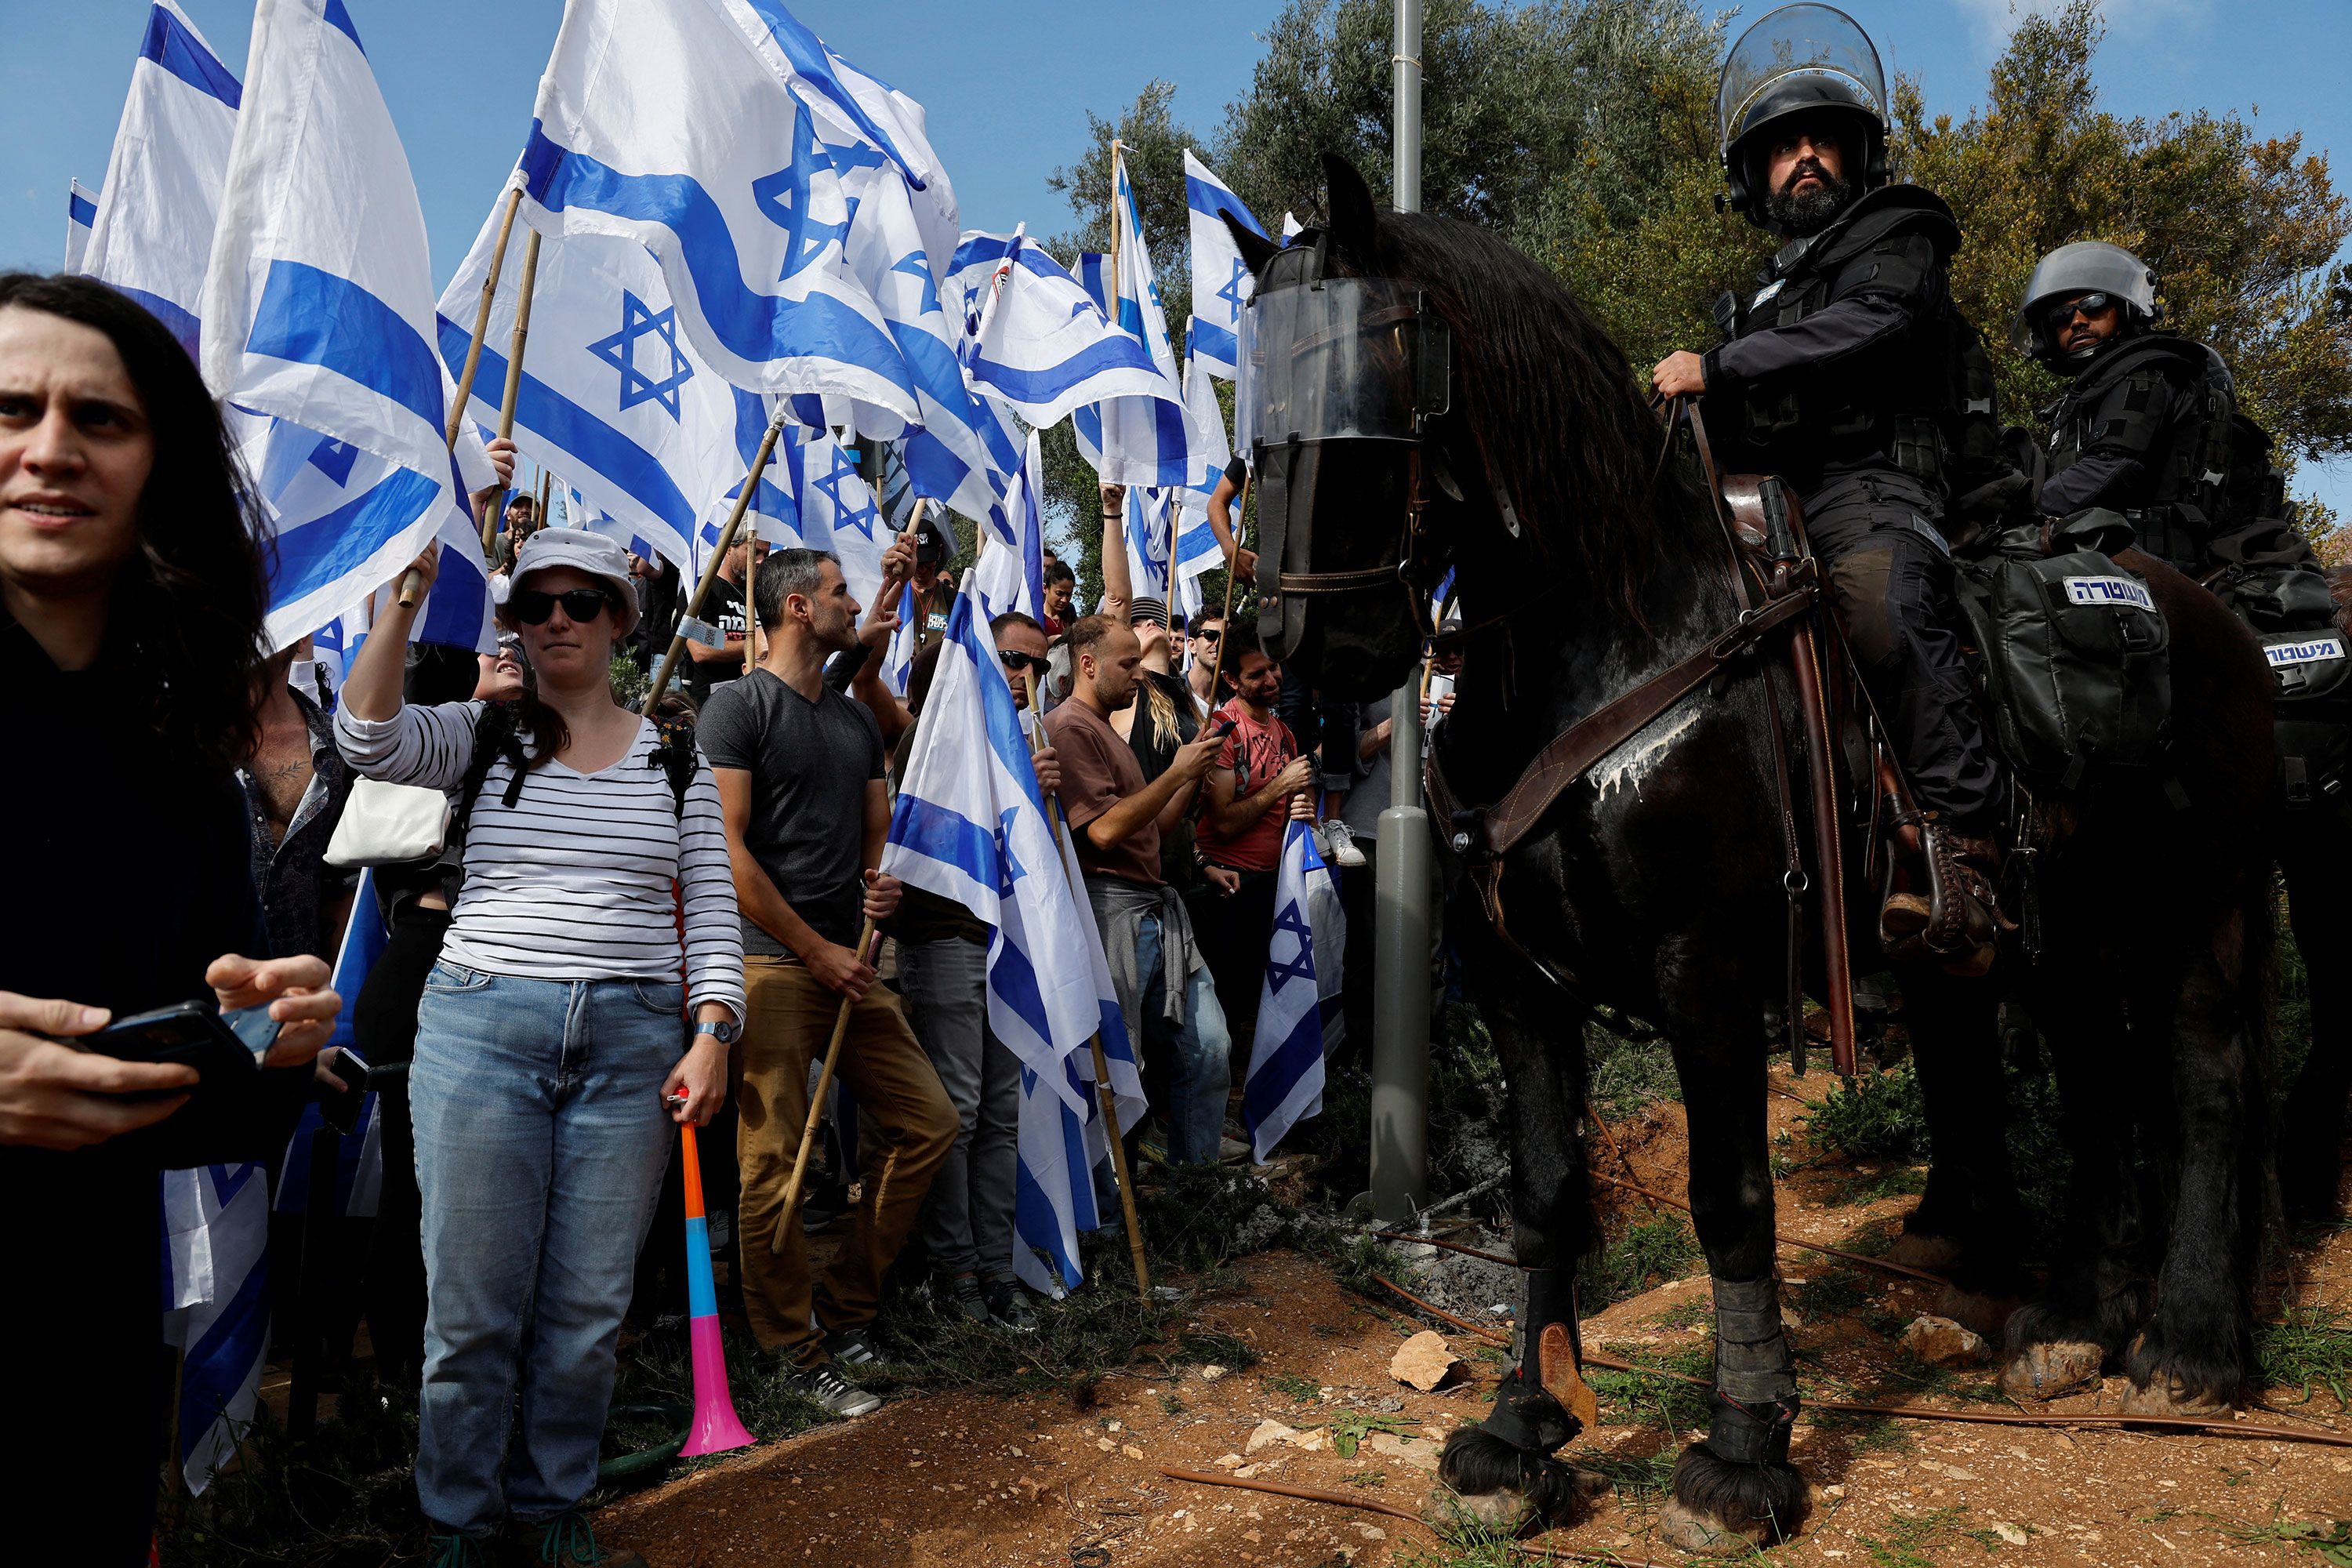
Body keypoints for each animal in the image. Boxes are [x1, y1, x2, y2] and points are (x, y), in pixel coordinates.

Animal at [1232, 152, 2277, 1552]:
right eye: (1260, 388)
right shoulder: (1513, 983)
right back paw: (2074, 1322)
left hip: (2203, 902)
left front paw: (1742, 1451)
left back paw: (2195, 1347)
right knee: (2098, 1082)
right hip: (2063, 931)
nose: (1305, 656)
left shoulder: (1709, 976)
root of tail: (2210, 612)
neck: (1605, 644)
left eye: (1373, 371)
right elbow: (1546, 1192)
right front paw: (1520, 1431)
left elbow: (1729, 1201)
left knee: (2207, 1081)